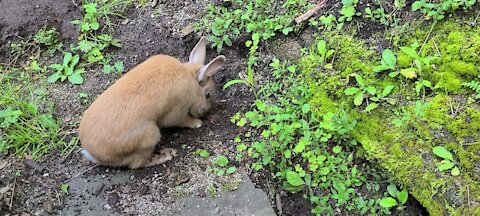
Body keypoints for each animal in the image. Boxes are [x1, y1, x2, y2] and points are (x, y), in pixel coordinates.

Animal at [79, 36, 227, 169]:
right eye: (208, 95)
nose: (205, 111)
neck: (190, 78)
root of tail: (95, 154)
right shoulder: (178, 109)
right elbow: (181, 120)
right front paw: (197, 123)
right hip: (149, 136)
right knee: (137, 164)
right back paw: (165, 155)